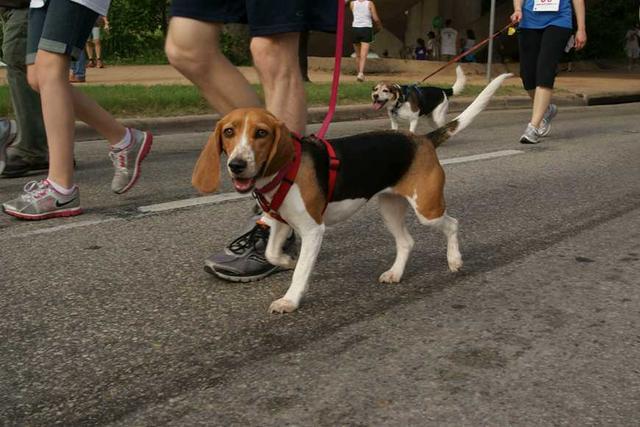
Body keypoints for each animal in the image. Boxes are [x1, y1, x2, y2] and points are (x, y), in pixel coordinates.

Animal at [192, 73, 512, 314]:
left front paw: (290, 300)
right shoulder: (281, 222)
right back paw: (395, 273)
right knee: (406, 242)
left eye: (261, 133)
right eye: (229, 132)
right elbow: (272, 252)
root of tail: (422, 139)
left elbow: (301, 271)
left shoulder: (313, 230)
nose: (237, 165)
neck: (282, 172)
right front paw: (284, 261)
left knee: (452, 224)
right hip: (389, 208)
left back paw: (455, 259)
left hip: (427, 208)